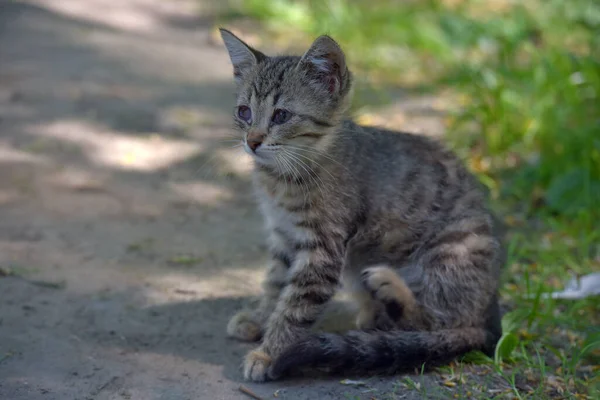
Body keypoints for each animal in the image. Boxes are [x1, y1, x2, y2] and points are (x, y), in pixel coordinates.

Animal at [219, 26, 502, 382]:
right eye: (244, 112)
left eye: (281, 115)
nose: (252, 141)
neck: (283, 179)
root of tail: (489, 313)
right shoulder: (284, 234)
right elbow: (274, 282)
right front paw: (259, 318)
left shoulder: (322, 249)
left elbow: (295, 305)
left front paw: (269, 352)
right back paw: (373, 312)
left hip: (453, 247)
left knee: (436, 322)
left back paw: (393, 291)